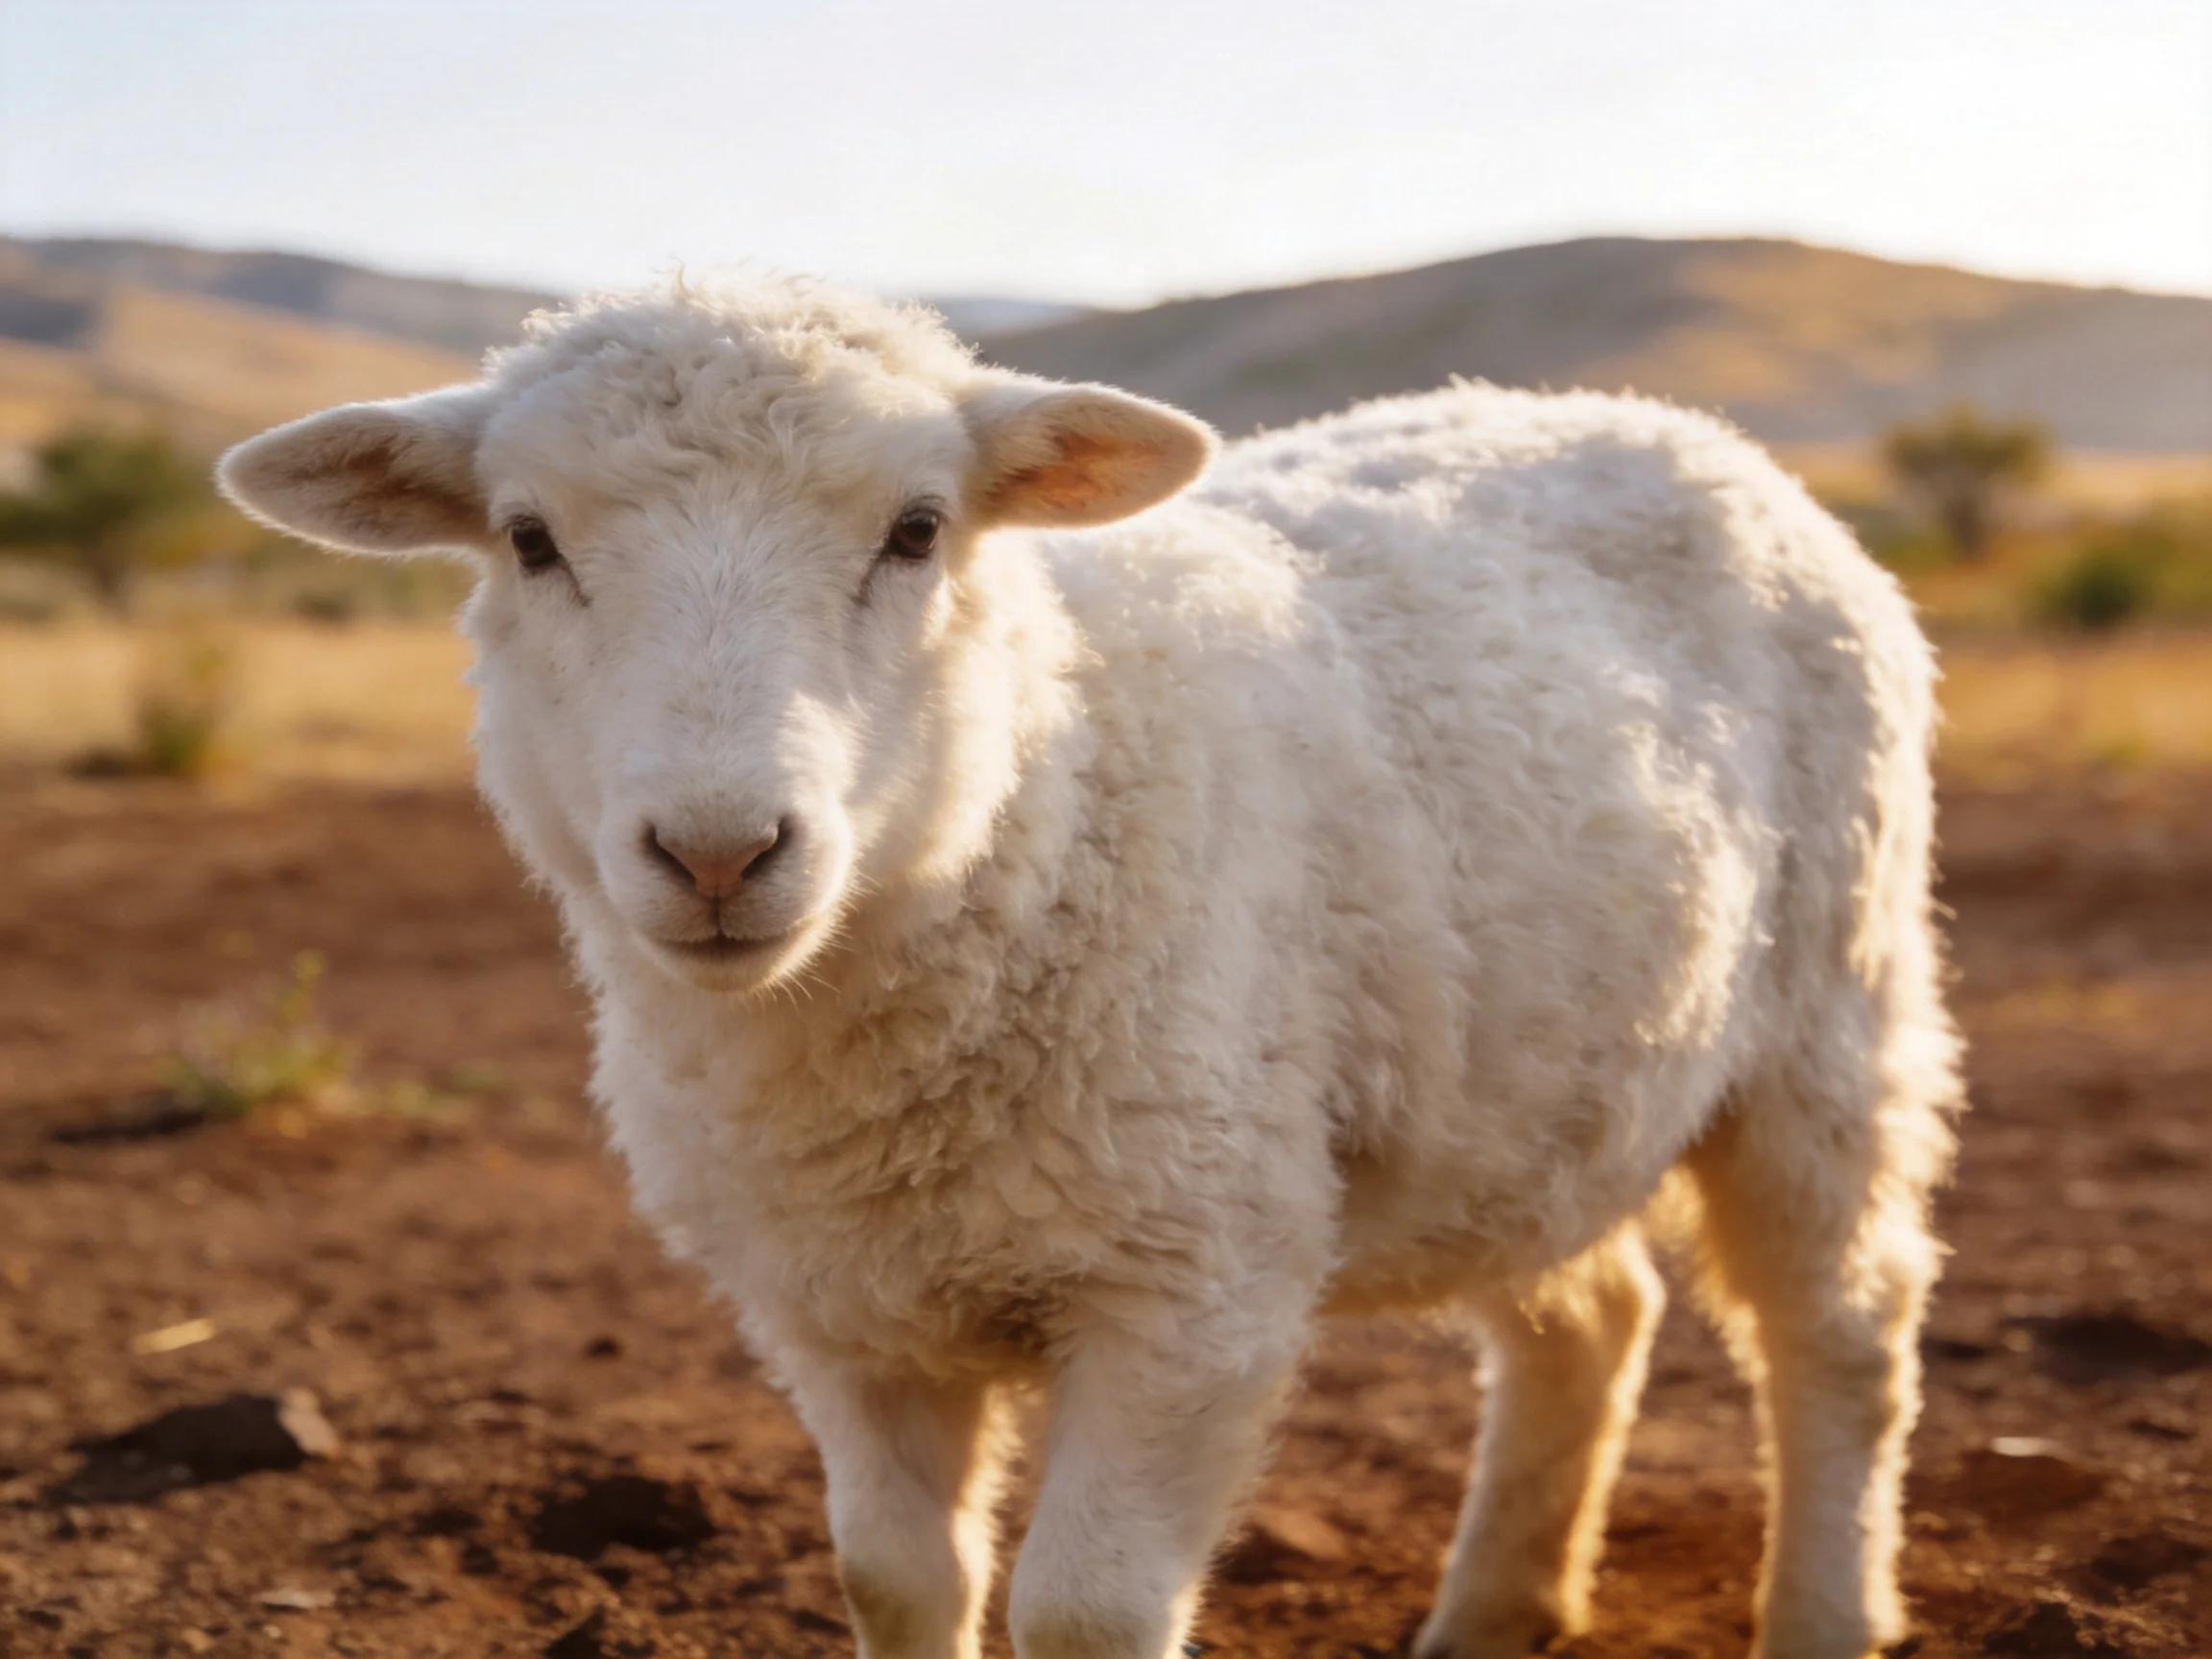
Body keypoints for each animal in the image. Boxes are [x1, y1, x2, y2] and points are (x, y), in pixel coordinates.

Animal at [218, 274, 1962, 1659]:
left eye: (918, 532)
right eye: (528, 541)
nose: (718, 853)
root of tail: (1649, 419)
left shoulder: (1193, 1283)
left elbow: (1083, 1611)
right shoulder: (836, 1307)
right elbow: (894, 1581)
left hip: (1831, 999)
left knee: (1843, 1329)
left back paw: (1821, 1612)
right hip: (1527, 1074)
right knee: (1586, 1314)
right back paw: (1490, 1613)